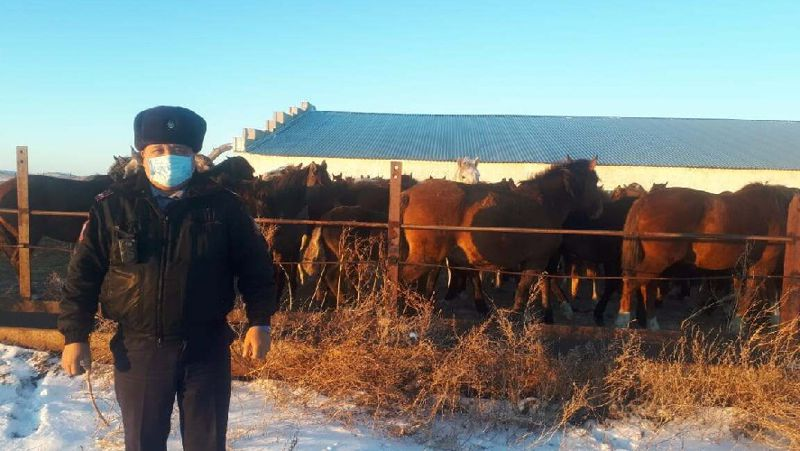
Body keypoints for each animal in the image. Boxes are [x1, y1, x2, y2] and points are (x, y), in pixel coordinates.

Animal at [404, 159, 604, 322]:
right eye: (595, 182)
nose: (598, 209)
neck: (544, 204)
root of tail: (409, 193)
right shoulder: (537, 260)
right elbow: (525, 288)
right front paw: (517, 314)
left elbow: (543, 283)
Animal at [616, 184, 796, 332]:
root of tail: (644, 200)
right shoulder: (763, 264)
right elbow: (751, 293)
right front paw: (738, 324)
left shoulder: (747, 267)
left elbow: (749, 293)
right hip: (658, 260)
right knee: (632, 281)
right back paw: (623, 319)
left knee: (648, 286)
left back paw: (652, 323)